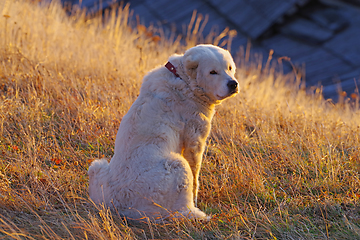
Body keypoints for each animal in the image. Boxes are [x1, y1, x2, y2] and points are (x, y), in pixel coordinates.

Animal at [87, 44, 239, 220]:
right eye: (212, 72)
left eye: (229, 68)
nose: (233, 84)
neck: (184, 79)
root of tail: (119, 206)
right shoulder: (195, 136)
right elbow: (195, 175)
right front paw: (196, 198)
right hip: (178, 164)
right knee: (180, 209)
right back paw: (198, 214)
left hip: (97, 167)